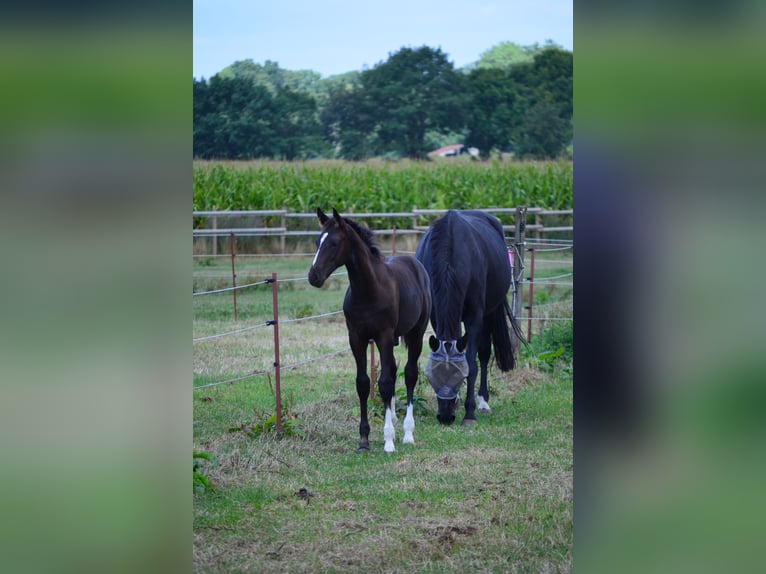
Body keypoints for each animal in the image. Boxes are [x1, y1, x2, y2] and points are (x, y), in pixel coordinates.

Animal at [308, 208, 432, 453]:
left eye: (334, 243)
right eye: (317, 242)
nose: (313, 276)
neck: (369, 289)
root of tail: (415, 264)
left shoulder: (383, 336)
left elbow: (384, 383)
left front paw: (389, 441)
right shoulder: (356, 338)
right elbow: (363, 383)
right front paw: (364, 440)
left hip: (415, 334)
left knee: (410, 374)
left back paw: (407, 433)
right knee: (393, 370)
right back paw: (393, 419)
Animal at [415, 210, 522, 425]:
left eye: (459, 376)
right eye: (432, 377)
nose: (445, 417)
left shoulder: (475, 317)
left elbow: (473, 364)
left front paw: (469, 413)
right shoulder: (436, 316)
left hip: (489, 313)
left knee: (484, 354)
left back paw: (483, 401)